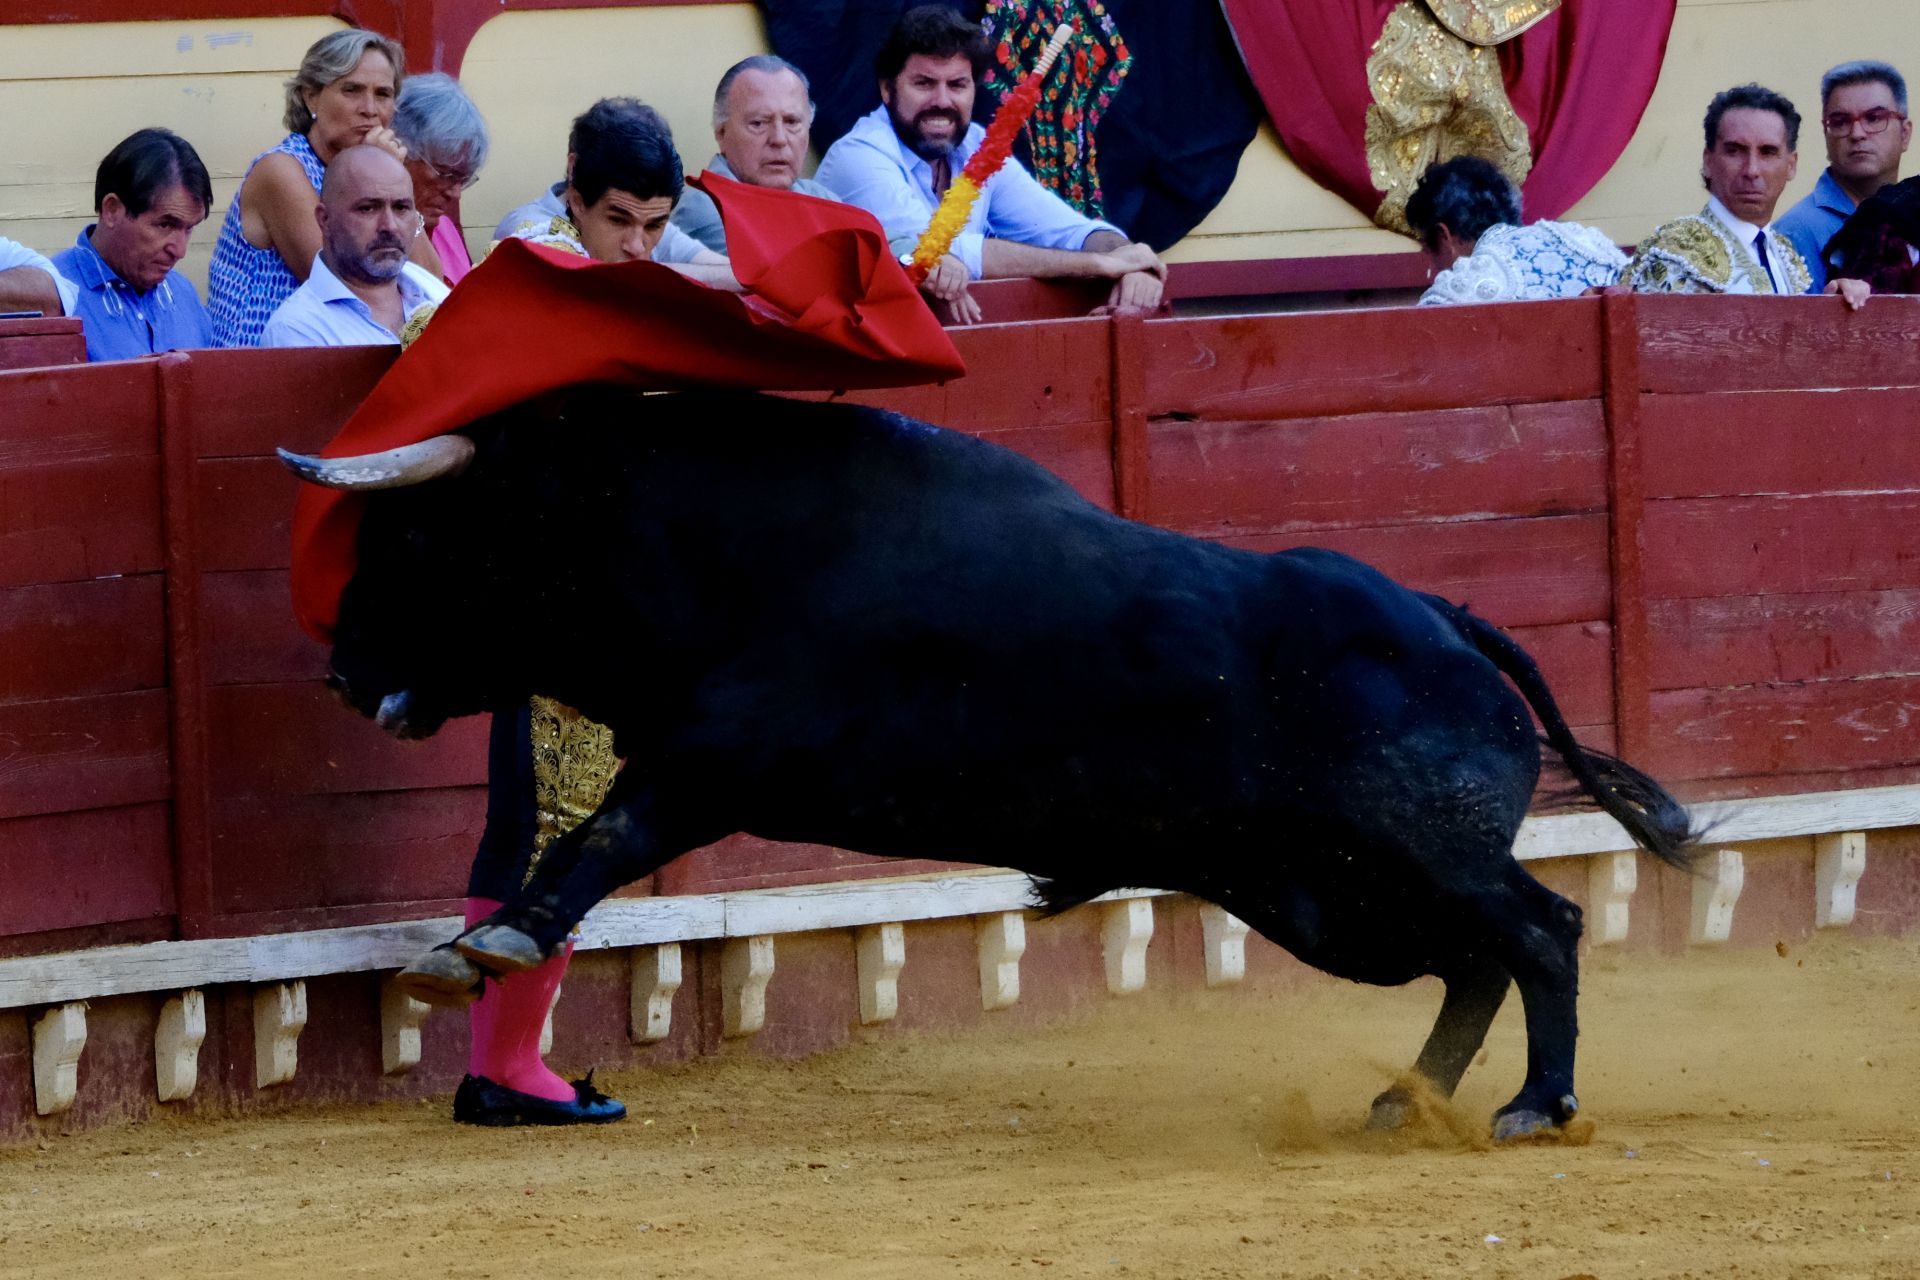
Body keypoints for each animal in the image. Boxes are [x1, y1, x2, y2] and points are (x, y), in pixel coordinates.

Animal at [284, 387, 1697, 1143]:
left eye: (419, 533)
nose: (343, 672)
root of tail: (1446, 618)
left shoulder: (709, 761)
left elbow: (602, 839)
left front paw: (493, 939)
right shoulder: (695, 758)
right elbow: (595, 842)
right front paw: (469, 946)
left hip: (1409, 846)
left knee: (1542, 926)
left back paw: (1537, 1104)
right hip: (1323, 892)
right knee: (1472, 957)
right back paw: (1411, 1102)